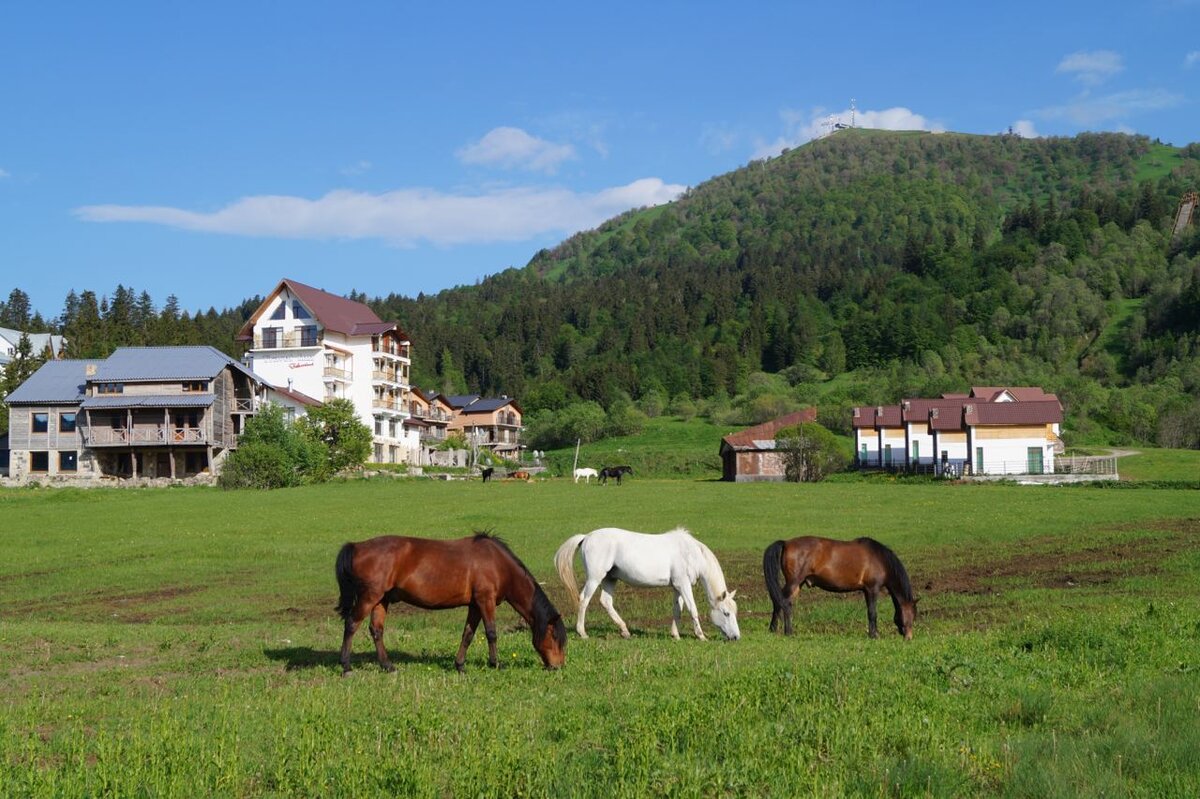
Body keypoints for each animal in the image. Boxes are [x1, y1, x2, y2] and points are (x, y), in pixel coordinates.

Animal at [333, 527, 566, 671]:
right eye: (555, 637)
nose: (558, 666)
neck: (498, 564)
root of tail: (358, 546)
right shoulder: (486, 601)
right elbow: (491, 633)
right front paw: (495, 664)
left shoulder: (475, 605)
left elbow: (468, 634)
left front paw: (460, 665)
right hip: (369, 597)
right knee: (351, 624)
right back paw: (346, 666)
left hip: (382, 600)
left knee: (376, 630)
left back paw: (388, 666)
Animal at [554, 525, 739, 638]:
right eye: (726, 613)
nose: (736, 637)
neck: (691, 553)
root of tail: (587, 537)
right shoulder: (684, 585)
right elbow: (692, 609)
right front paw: (701, 636)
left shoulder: (677, 586)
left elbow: (677, 610)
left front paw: (675, 635)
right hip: (595, 578)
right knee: (584, 600)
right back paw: (582, 632)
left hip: (609, 579)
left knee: (606, 602)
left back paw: (625, 631)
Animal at [758, 535, 916, 643]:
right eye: (913, 615)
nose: (909, 638)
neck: (879, 558)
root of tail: (786, 543)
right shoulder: (872, 589)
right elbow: (872, 613)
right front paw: (874, 635)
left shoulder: (866, 591)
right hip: (794, 582)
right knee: (784, 602)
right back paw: (788, 632)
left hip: (798, 584)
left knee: (781, 602)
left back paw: (774, 629)